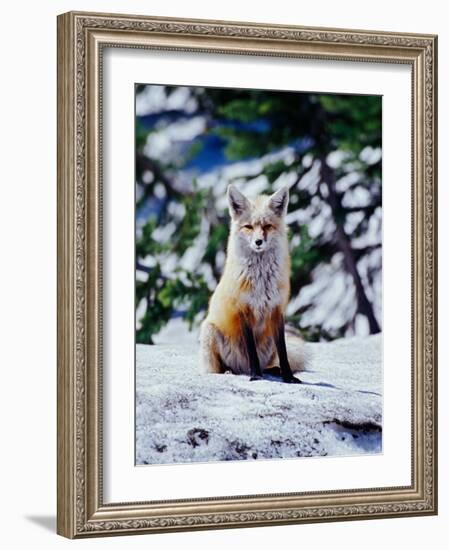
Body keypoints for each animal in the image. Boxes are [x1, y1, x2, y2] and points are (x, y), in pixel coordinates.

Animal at [200, 185, 304, 384]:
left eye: (267, 226)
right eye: (248, 226)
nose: (258, 242)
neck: (261, 280)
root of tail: (241, 368)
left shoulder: (277, 310)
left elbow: (284, 352)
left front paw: (288, 377)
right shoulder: (243, 309)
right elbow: (251, 350)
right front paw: (255, 376)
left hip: (269, 342)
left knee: (269, 363)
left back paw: (273, 370)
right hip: (209, 331)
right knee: (220, 369)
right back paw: (232, 371)